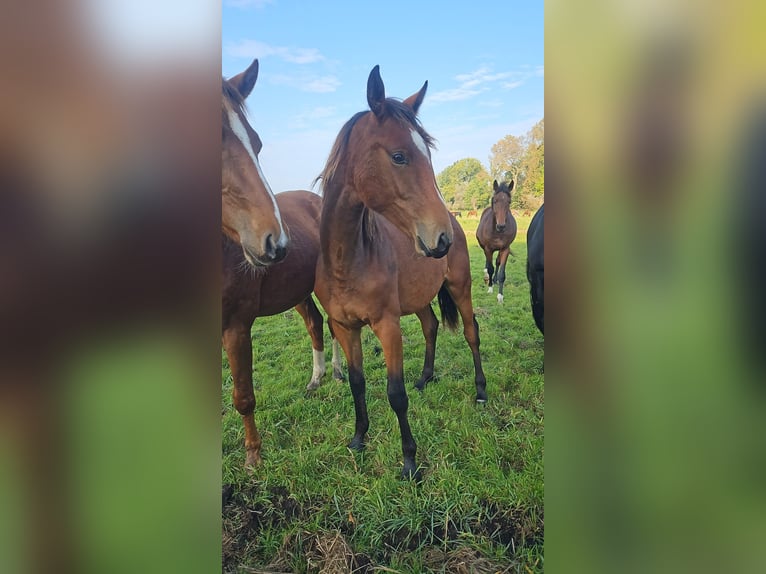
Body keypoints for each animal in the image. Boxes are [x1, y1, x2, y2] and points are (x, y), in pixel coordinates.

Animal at [222, 60, 342, 470]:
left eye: (257, 143)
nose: (274, 242)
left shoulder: (236, 326)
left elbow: (243, 397)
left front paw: (253, 456)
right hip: (298, 291)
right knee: (315, 324)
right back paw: (316, 379)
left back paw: (336, 371)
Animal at [316, 66, 486, 482]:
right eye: (398, 156)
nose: (440, 237)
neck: (347, 259)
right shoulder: (344, 326)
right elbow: (358, 383)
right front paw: (359, 437)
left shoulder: (387, 325)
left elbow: (395, 393)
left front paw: (409, 460)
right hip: (420, 299)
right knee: (431, 326)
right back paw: (425, 377)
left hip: (460, 288)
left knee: (471, 333)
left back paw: (480, 391)